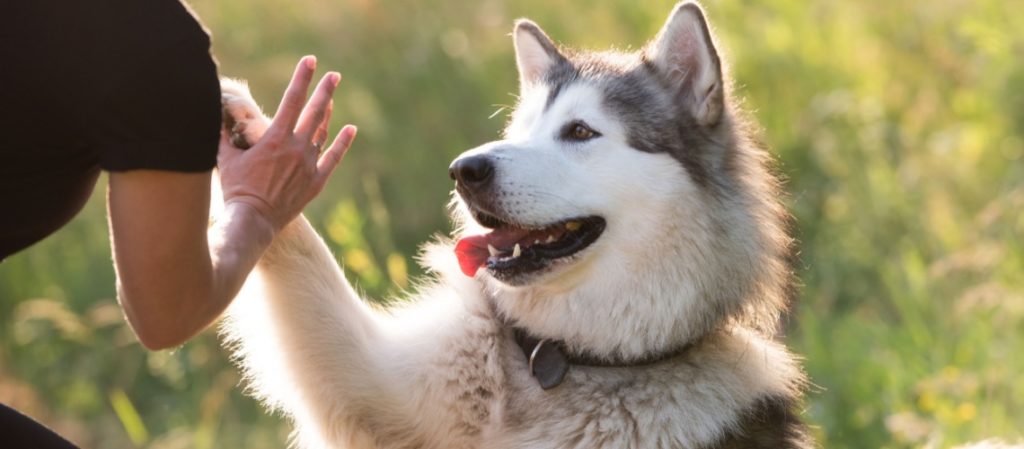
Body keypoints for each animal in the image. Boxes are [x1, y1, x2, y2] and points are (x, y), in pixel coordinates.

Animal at [220, 1, 811, 446]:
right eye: (520, 131)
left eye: (580, 131)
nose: (464, 170)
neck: (567, 359)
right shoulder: (367, 382)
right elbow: (302, 254)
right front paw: (254, 141)